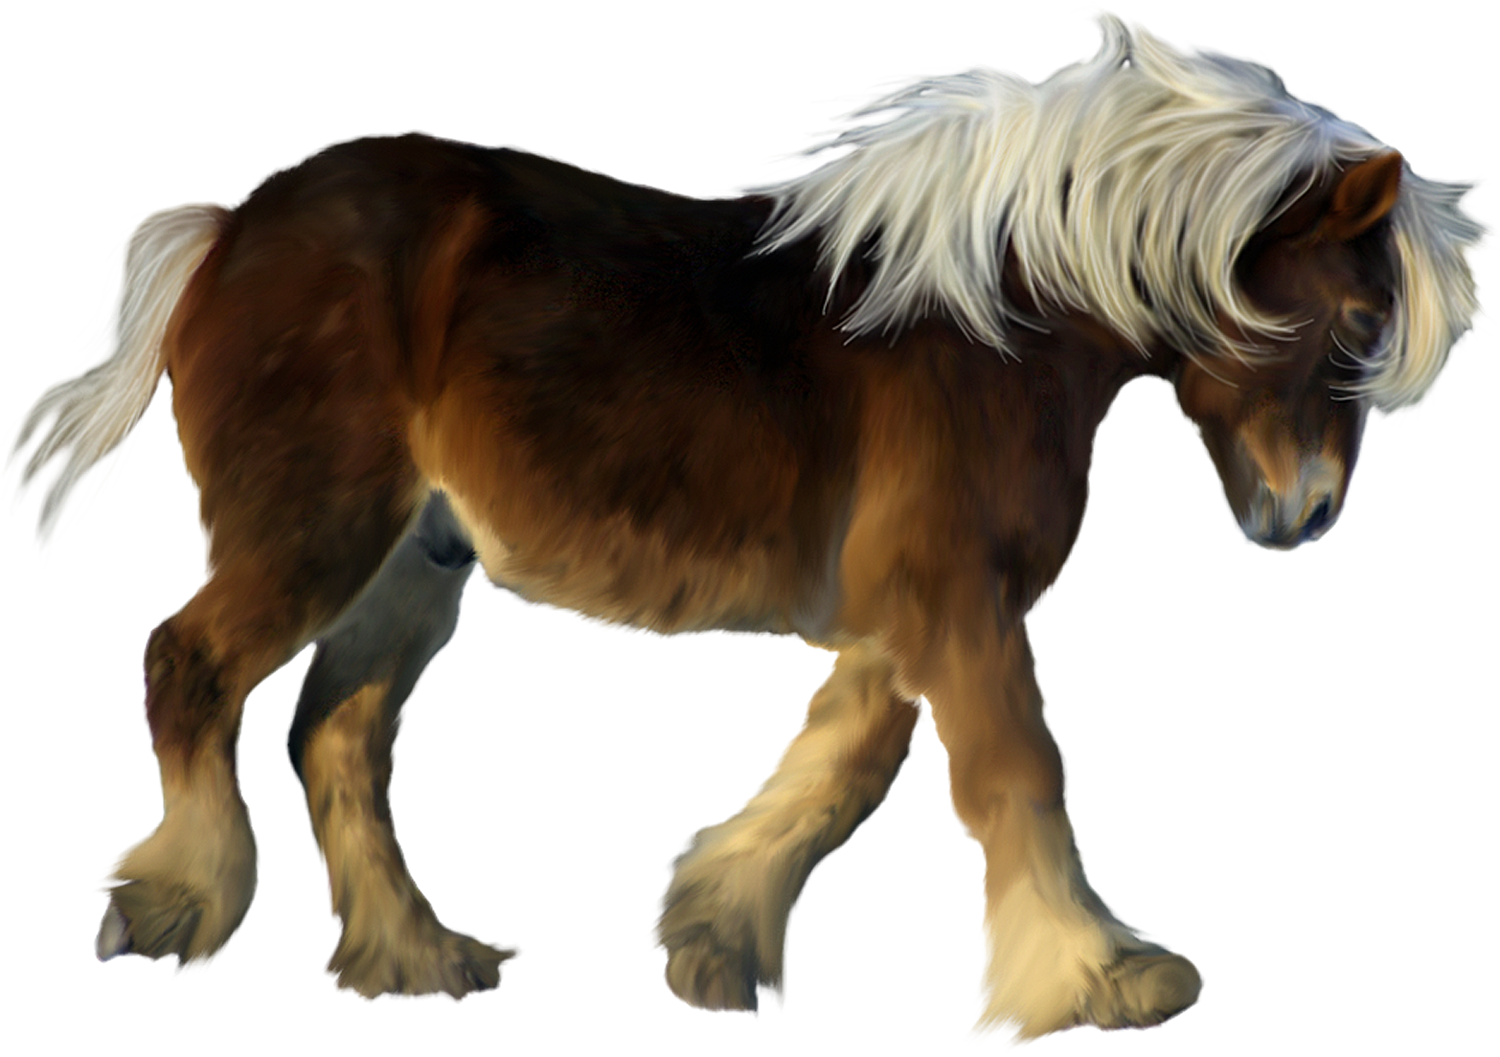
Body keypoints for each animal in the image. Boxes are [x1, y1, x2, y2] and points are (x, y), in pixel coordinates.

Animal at [3, 12, 1490, 1049]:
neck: (996, 313)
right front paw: (1106, 977)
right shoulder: (952, 602)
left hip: (413, 563)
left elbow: (848, 772)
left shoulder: (912, 616)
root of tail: (228, 226)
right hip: (319, 527)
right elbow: (1016, 776)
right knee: (193, 670)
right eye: (1357, 319)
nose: (1307, 514)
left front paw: (716, 937)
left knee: (334, 734)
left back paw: (418, 962)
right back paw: (176, 905)